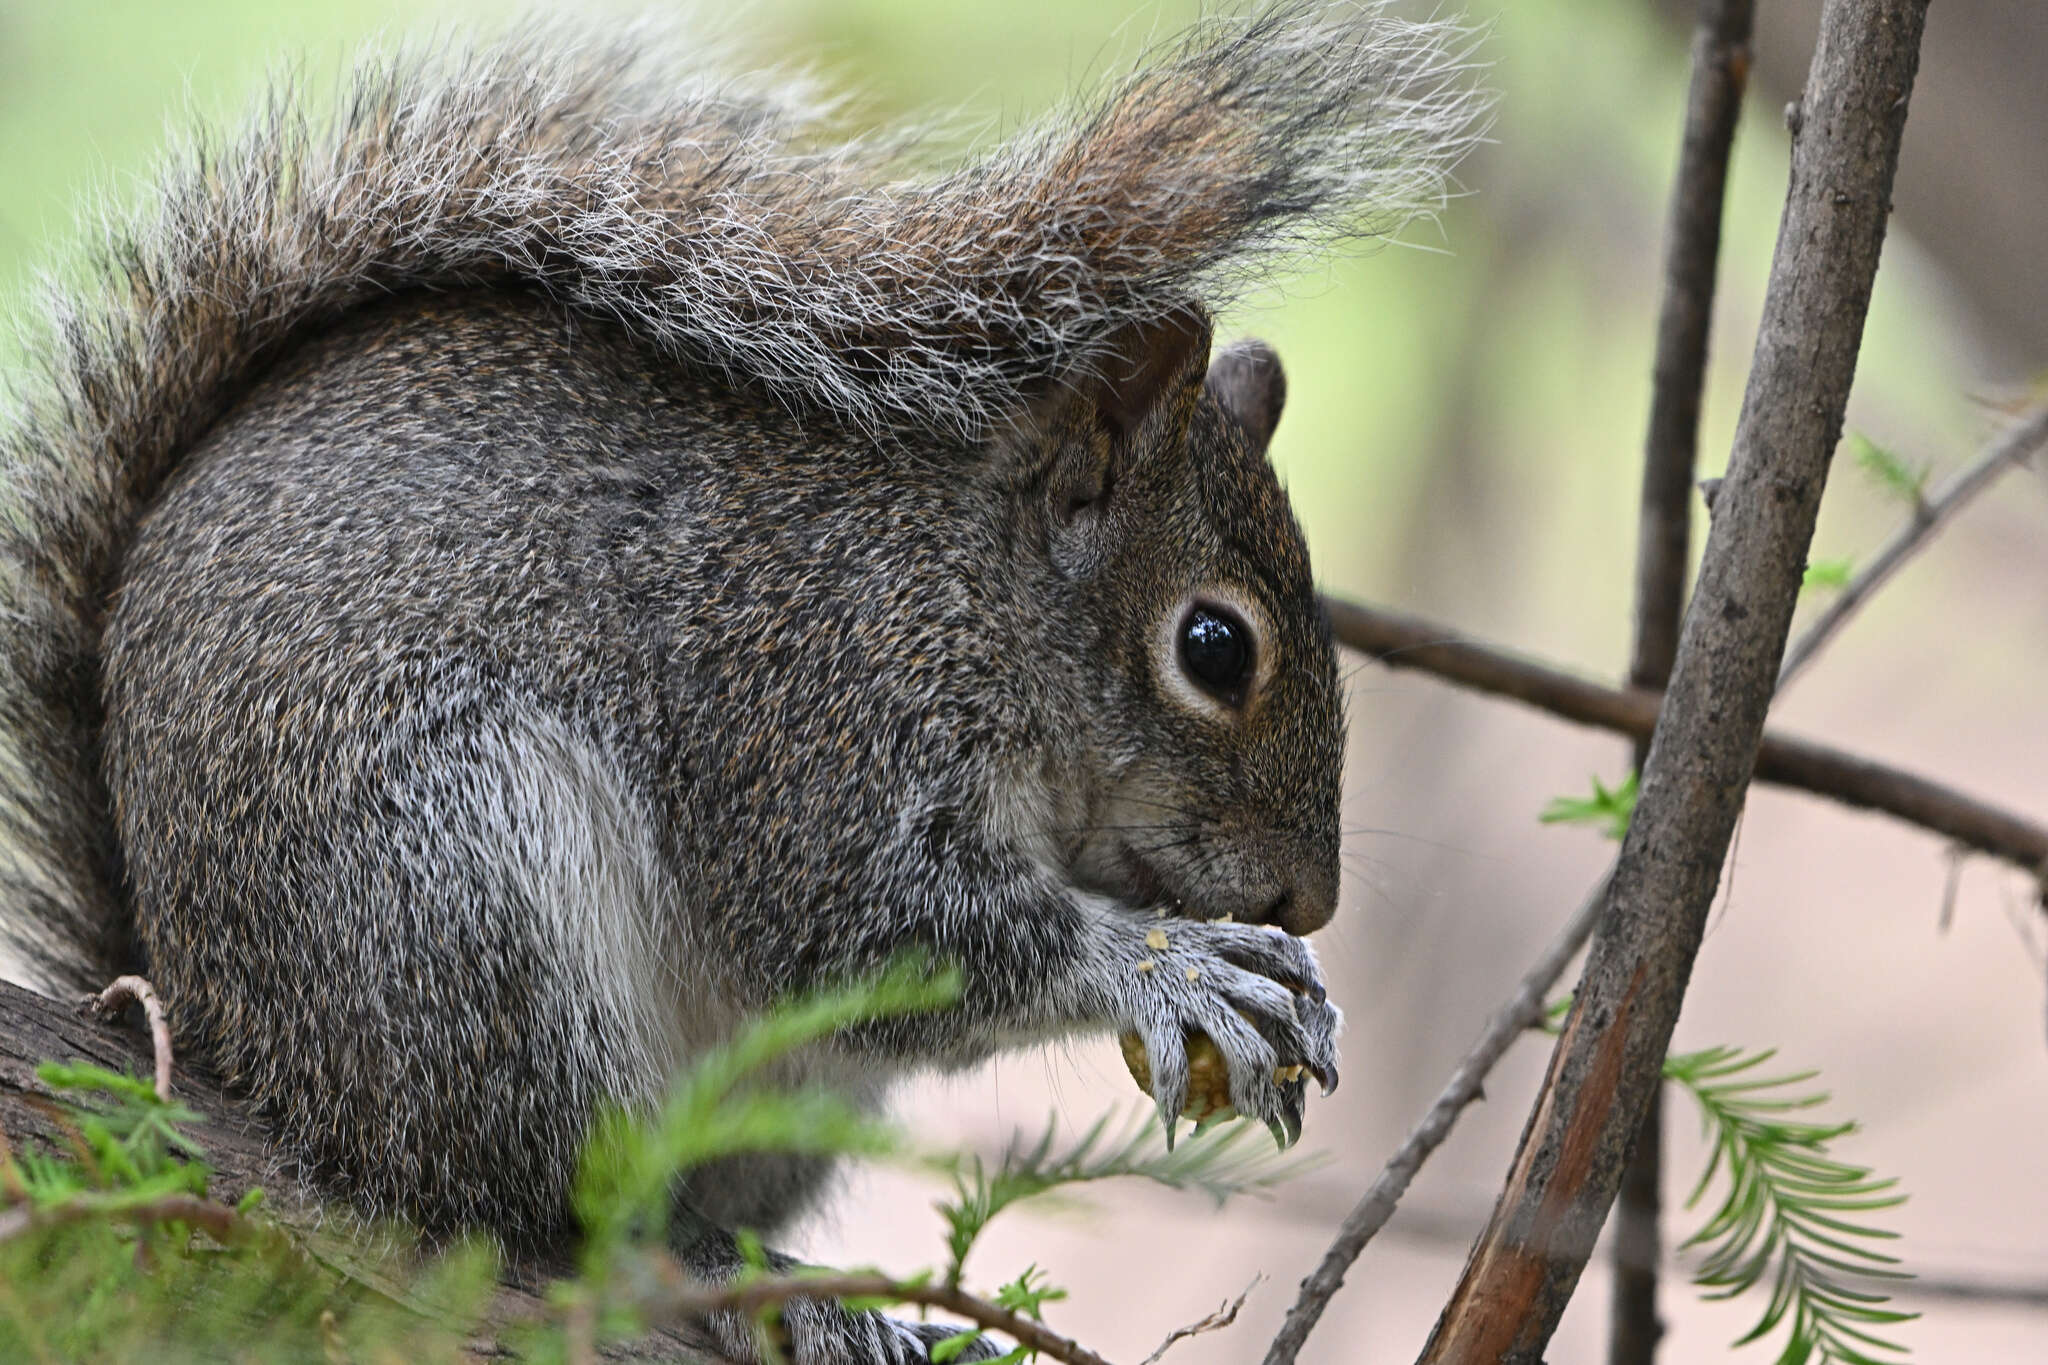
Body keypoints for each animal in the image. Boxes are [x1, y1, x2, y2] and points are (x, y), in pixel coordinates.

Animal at [0, 5, 1482, 1358]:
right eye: (1213, 647)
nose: (1311, 898)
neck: (971, 596)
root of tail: (222, 1038)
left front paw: (1287, 970)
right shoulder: (807, 713)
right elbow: (877, 929)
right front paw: (1169, 969)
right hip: (459, 903)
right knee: (553, 1204)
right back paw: (744, 1276)